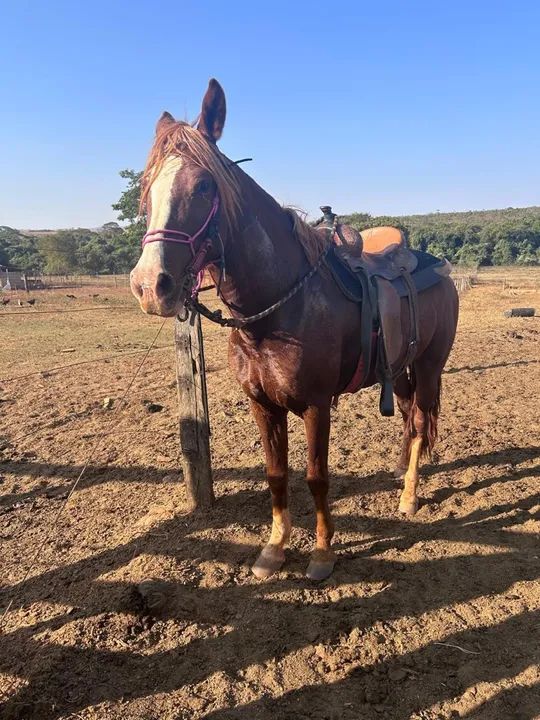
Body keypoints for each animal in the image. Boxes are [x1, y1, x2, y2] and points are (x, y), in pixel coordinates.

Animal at [130, 79, 459, 581]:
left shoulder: (316, 405)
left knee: (421, 420)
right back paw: (400, 471)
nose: (150, 285)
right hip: (400, 368)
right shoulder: (263, 405)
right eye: (147, 188)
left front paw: (322, 554)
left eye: (203, 185)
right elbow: (276, 475)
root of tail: (435, 266)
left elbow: (316, 477)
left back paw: (408, 497)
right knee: (407, 418)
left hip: (429, 367)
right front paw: (274, 549)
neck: (277, 313)